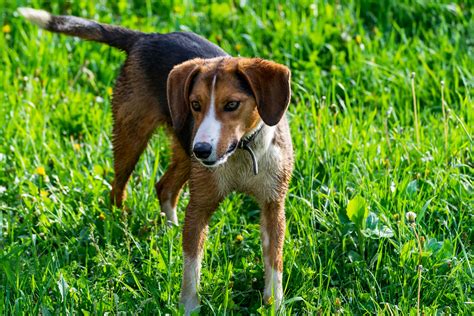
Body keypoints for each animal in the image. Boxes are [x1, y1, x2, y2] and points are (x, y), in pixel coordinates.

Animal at [20, 7, 294, 314]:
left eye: (232, 105)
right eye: (195, 104)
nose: (202, 149)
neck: (241, 151)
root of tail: (145, 36)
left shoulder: (273, 205)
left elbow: (274, 262)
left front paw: (274, 304)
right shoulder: (199, 207)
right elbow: (191, 268)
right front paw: (189, 307)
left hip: (183, 153)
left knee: (164, 187)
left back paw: (170, 231)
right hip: (132, 137)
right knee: (118, 189)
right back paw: (122, 227)